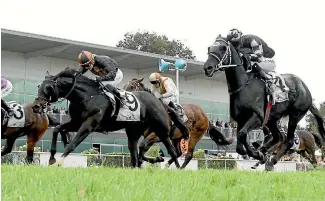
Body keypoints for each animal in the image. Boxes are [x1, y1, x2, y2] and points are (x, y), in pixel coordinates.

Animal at [31, 67, 180, 168]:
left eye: (48, 88)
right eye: (39, 86)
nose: (36, 106)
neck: (86, 96)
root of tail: (157, 100)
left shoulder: (88, 125)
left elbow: (73, 144)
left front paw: (60, 161)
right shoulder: (76, 122)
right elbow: (57, 129)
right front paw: (52, 157)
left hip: (161, 129)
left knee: (172, 151)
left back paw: (176, 168)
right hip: (133, 131)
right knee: (134, 152)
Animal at [202, 35, 324, 170]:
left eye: (223, 48)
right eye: (209, 48)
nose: (207, 68)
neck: (244, 85)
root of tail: (306, 89)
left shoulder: (258, 117)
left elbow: (242, 134)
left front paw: (257, 154)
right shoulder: (241, 119)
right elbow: (240, 143)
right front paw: (258, 154)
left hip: (295, 115)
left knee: (289, 141)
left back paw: (272, 160)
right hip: (272, 119)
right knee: (278, 137)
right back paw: (264, 151)